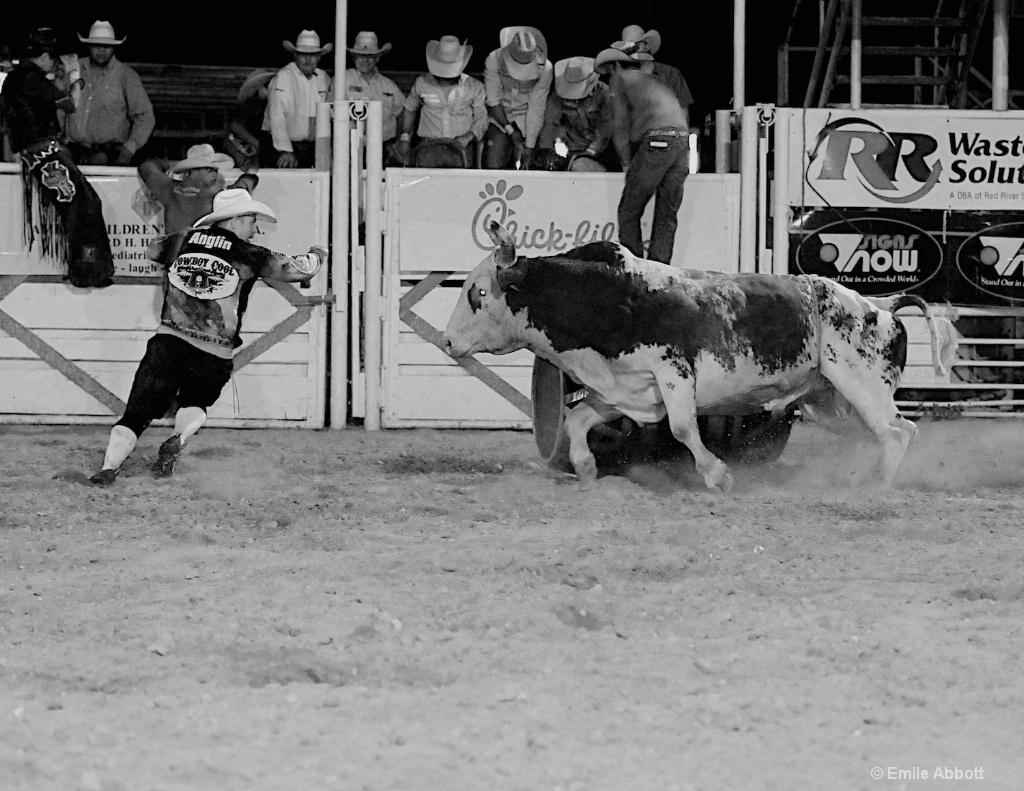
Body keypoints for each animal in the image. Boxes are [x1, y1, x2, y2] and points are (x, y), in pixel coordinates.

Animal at [444, 222, 954, 491]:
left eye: (478, 292)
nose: (448, 342)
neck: (611, 296)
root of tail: (882, 305)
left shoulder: (674, 373)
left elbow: (684, 428)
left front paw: (717, 475)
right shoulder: (625, 389)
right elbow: (578, 418)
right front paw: (586, 467)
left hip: (862, 386)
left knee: (897, 431)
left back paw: (875, 484)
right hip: (829, 403)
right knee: (891, 431)